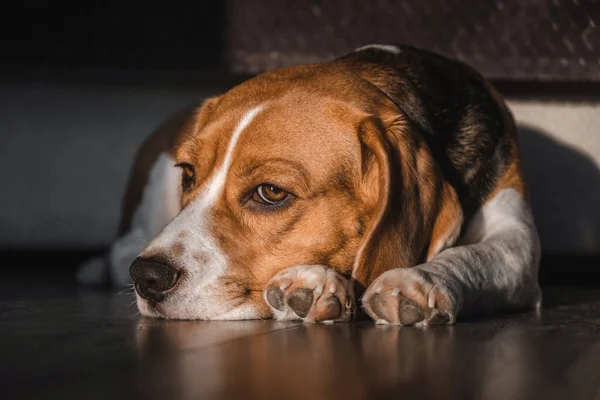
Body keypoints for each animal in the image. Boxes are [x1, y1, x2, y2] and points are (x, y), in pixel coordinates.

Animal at [90, 44, 544, 324]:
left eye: (271, 192)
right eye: (188, 173)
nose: (147, 277)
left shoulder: (518, 244)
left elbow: (475, 256)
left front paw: (419, 281)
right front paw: (314, 283)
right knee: (120, 248)